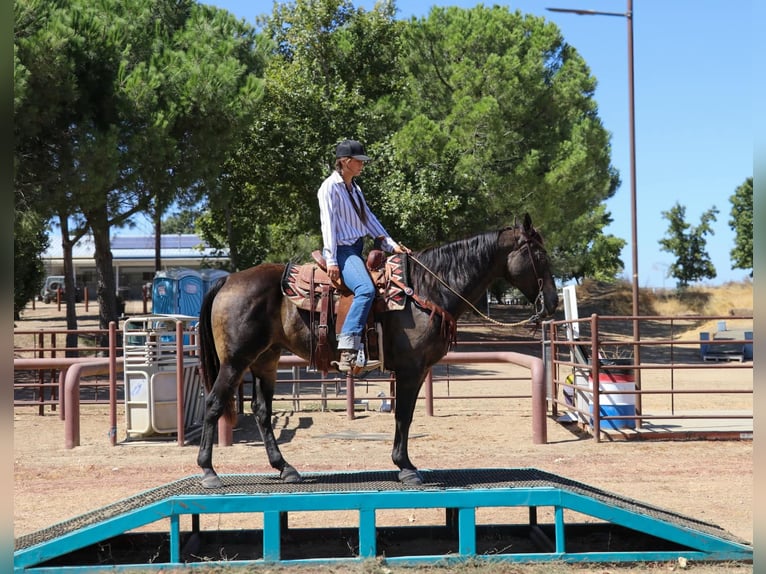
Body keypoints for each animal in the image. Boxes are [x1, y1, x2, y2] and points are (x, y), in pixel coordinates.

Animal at [196, 213, 558, 488]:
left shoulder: (412, 371)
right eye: (541, 256)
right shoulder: (411, 369)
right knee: (213, 403)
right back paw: (209, 471)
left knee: (261, 410)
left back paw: (285, 468)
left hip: (265, 360)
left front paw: (403, 463)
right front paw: (406, 467)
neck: (426, 289)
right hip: (236, 361)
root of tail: (228, 280)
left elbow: (403, 415)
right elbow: (404, 415)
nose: (552, 303)